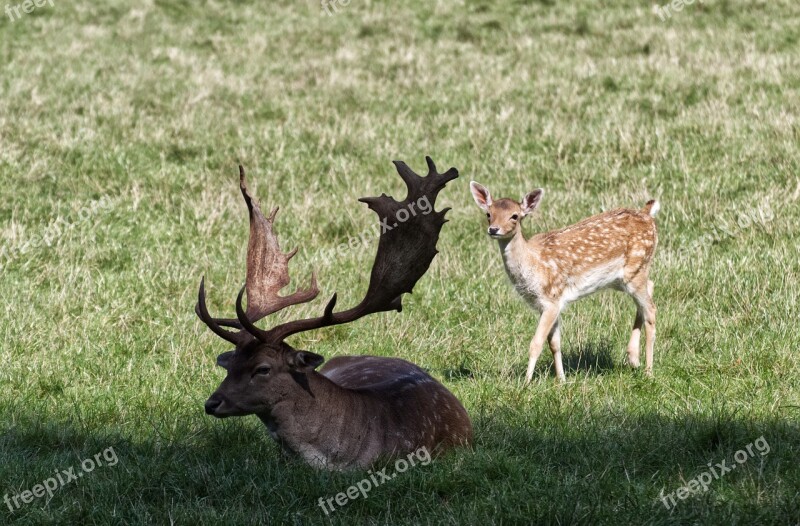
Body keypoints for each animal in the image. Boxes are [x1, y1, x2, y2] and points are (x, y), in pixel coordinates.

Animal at [466, 184, 660, 386]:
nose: (494, 229)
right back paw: (633, 358)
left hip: (636, 268)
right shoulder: (551, 303)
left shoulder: (551, 299)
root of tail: (647, 214)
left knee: (651, 309)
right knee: (650, 288)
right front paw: (562, 380)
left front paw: (526, 383)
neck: (533, 265)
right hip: (626, 277)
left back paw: (648, 371)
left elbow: (536, 343)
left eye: (515, 216)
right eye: (488, 213)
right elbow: (554, 344)